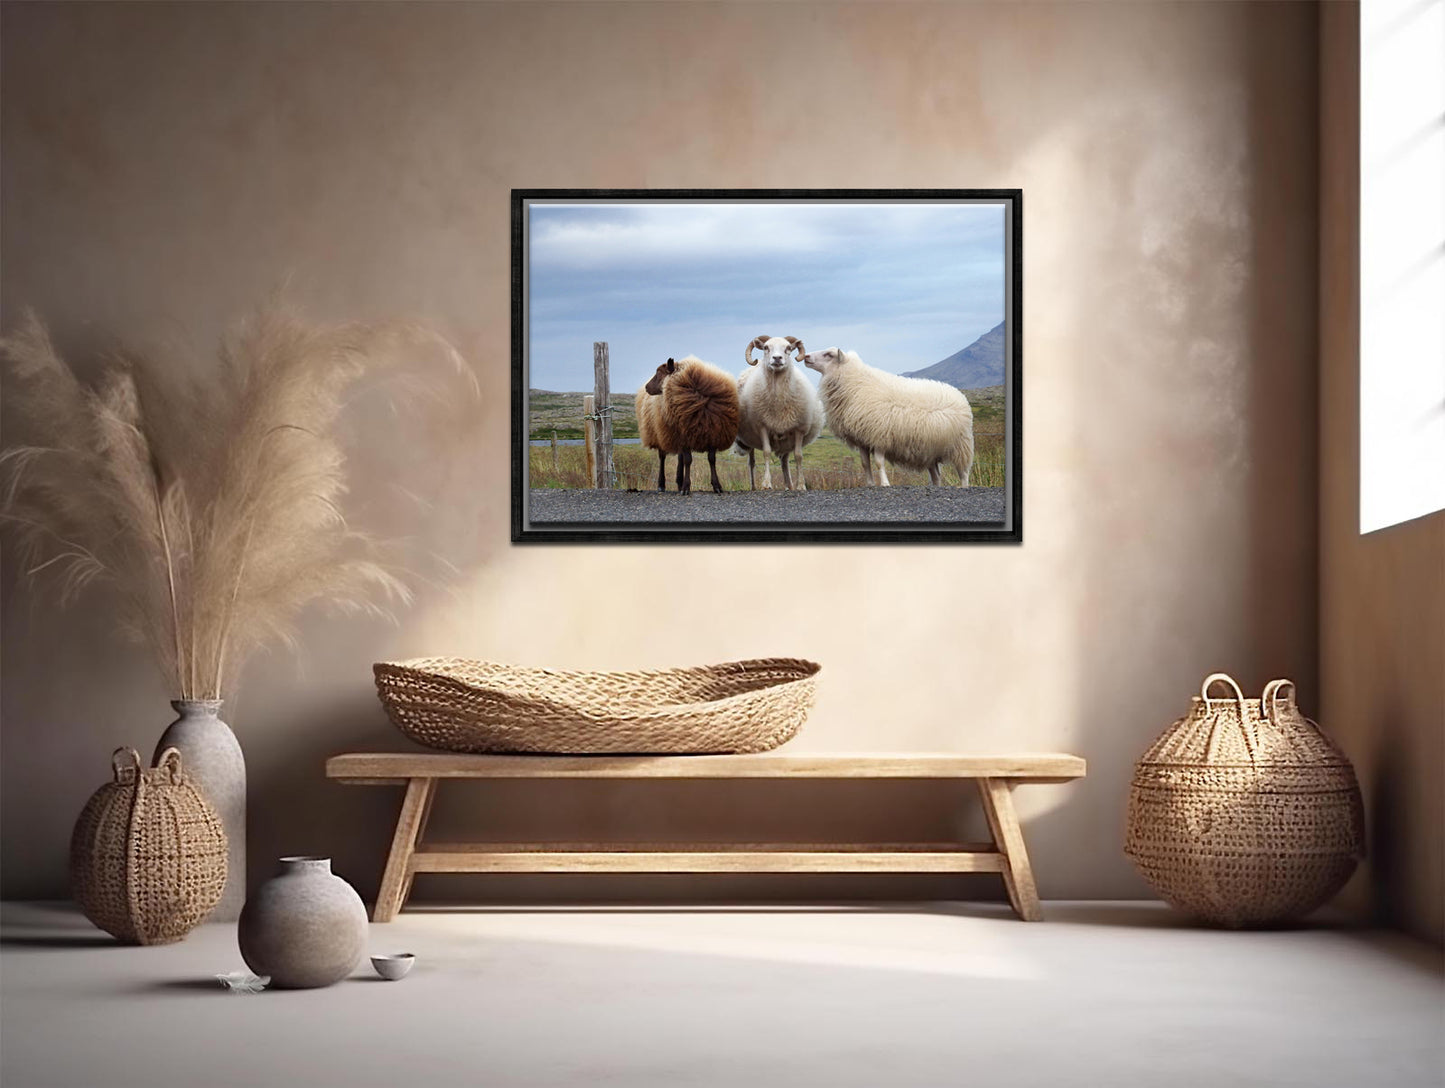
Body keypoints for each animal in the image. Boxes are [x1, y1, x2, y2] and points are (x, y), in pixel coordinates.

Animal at [638, 353, 739, 494]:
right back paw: (661, 485)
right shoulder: (683, 436)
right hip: (660, 433)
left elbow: (711, 459)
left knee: (679, 458)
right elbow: (688, 460)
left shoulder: (713, 434)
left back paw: (679, 482)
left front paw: (717, 486)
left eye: (659, 373)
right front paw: (686, 487)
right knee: (662, 457)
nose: (647, 387)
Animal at [734, 329, 826, 485]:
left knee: (784, 461)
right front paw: (766, 483)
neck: (778, 400)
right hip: (749, 438)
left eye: (788, 348)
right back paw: (753, 486)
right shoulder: (762, 426)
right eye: (766, 347)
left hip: (786, 439)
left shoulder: (798, 429)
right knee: (751, 462)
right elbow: (766, 452)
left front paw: (800, 485)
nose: (777, 358)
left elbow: (799, 456)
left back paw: (789, 485)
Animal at [797, 345, 976, 485]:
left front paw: (884, 483)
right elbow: (865, 463)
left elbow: (878, 463)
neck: (855, 384)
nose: (806, 357)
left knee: (964, 472)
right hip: (931, 450)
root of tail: (959, 395)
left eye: (829, 354)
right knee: (937, 476)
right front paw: (870, 484)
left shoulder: (879, 435)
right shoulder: (862, 437)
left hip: (961, 445)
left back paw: (964, 486)